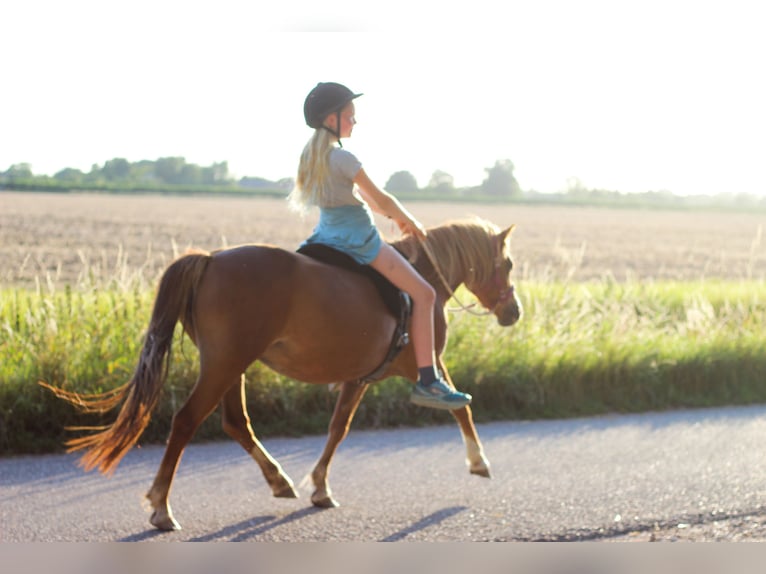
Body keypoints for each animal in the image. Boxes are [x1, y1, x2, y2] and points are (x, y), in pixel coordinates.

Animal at [46, 218, 520, 532]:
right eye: (510, 264)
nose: (514, 312)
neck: (423, 279)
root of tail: (210, 260)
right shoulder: (428, 364)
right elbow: (459, 407)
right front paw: (479, 461)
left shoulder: (357, 378)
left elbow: (337, 428)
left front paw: (320, 487)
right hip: (223, 365)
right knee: (186, 422)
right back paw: (162, 506)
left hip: (231, 366)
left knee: (235, 423)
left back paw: (278, 480)